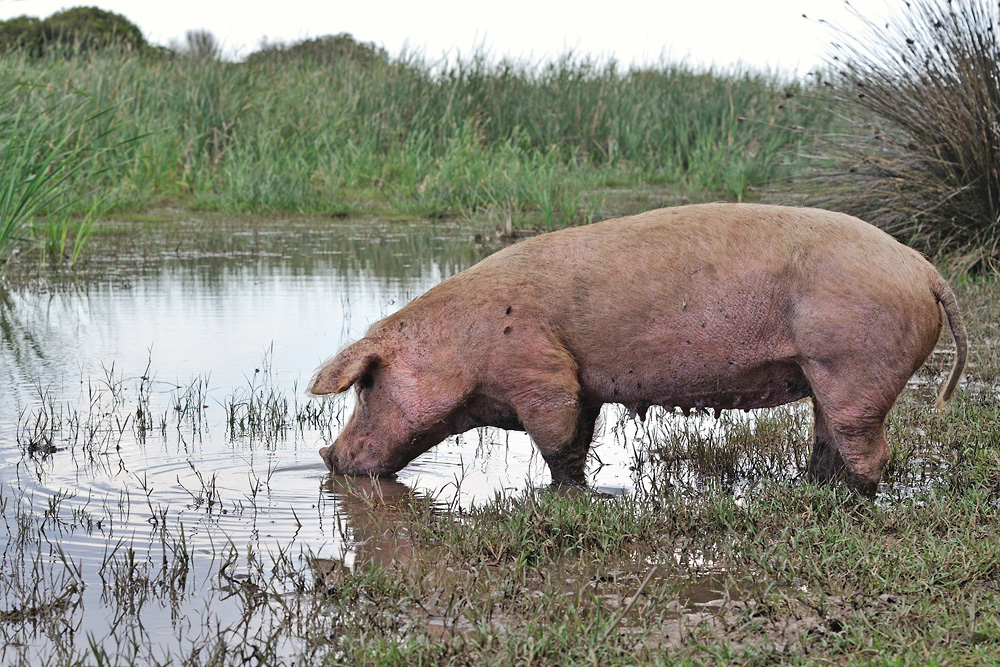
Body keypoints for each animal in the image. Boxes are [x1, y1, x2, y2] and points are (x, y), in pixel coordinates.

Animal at [310, 202, 968, 496]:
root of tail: (926, 270)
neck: (467, 345)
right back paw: (814, 488)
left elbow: (556, 441)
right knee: (829, 433)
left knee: (868, 448)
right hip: (829, 373)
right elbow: (578, 437)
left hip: (854, 363)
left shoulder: (539, 372)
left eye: (365, 386)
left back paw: (854, 501)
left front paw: (564, 496)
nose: (329, 458)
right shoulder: (581, 383)